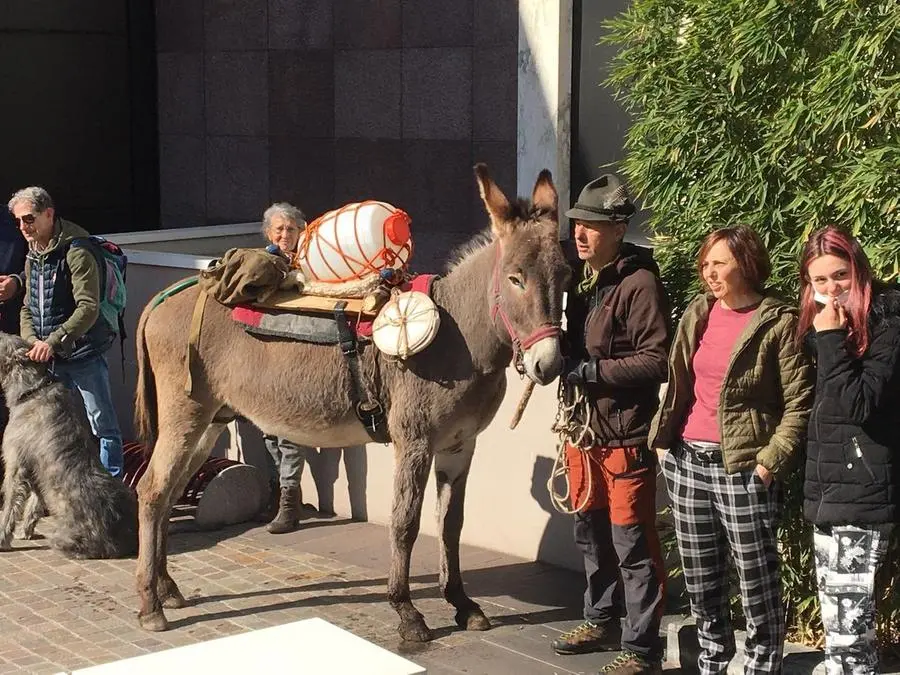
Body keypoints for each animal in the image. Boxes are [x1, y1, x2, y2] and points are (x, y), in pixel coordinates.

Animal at [0, 332, 137, 560]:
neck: (32, 391)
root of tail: (125, 540)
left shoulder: (16, 464)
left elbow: (11, 504)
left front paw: (3, 538)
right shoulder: (37, 469)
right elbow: (35, 501)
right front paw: (26, 530)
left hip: (63, 538)